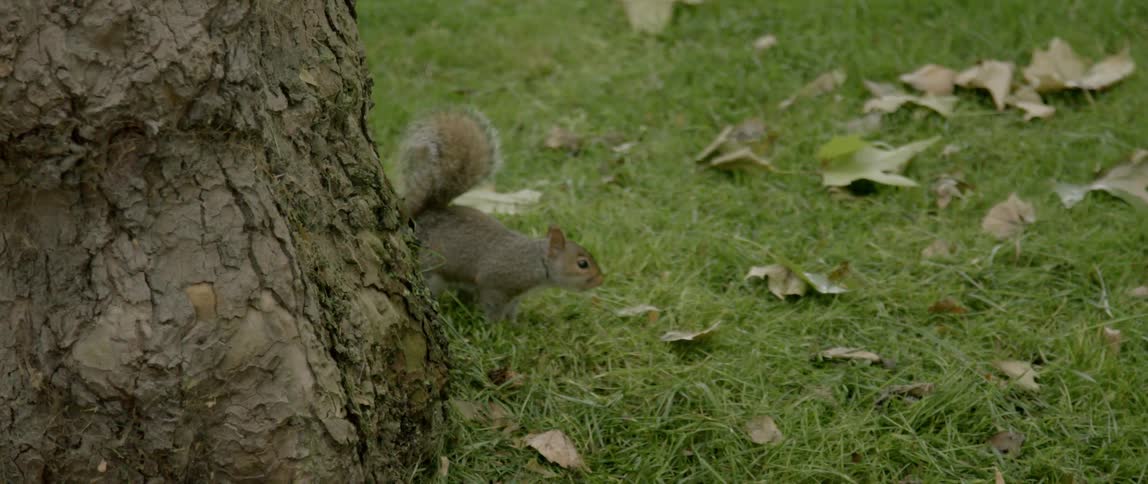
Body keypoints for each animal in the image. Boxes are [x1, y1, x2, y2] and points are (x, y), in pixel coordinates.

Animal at [396, 107, 604, 322]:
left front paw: (513, 324)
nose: (601, 279)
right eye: (582, 264)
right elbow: (493, 308)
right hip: (430, 269)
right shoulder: (495, 284)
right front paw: (494, 326)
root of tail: (423, 215)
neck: (534, 261)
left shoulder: (515, 296)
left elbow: (511, 310)